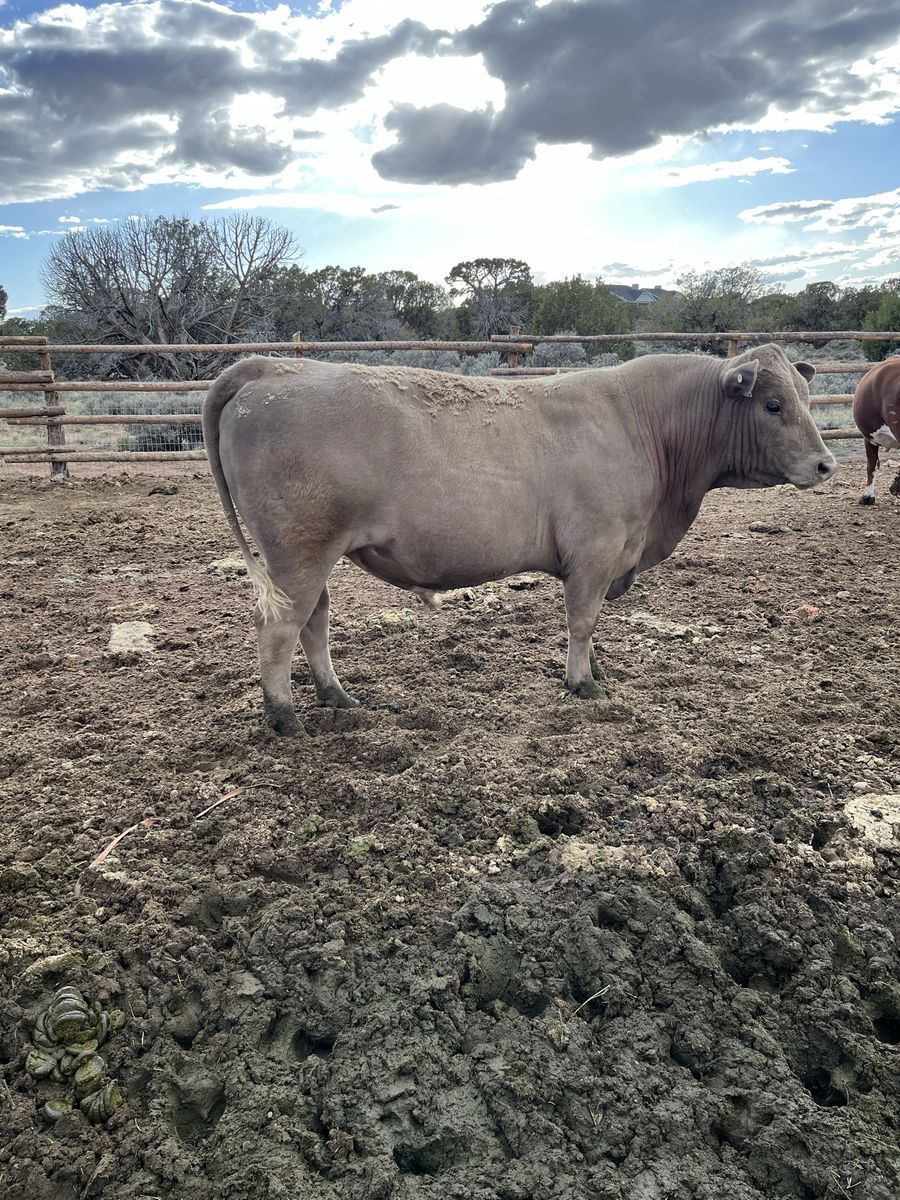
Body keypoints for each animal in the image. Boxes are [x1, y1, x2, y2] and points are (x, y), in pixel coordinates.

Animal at [202, 345, 836, 736]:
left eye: (806, 400)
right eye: (773, 404)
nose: (826, 464)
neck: (646, 424)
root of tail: (269, 367)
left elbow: (593, 625)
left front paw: (596, 671)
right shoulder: (595, 551)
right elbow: (582, 621)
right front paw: (583, 684)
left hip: (310, 558)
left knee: (314, 621)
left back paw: (337, 697)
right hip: (299, 552)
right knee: (279, 628)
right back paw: (284, 717)